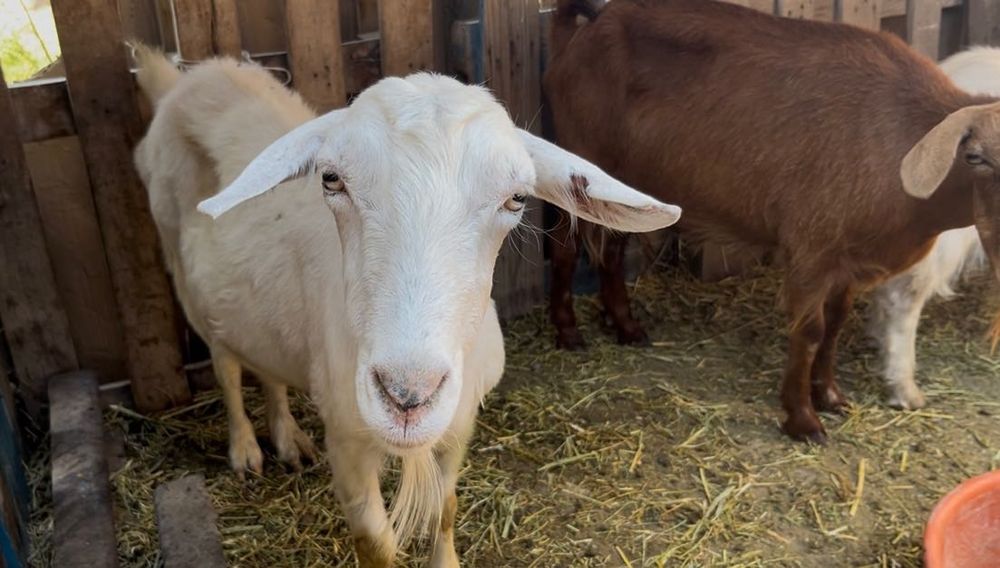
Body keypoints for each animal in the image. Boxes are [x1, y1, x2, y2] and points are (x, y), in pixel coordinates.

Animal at [132, 46, 680, 566]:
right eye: (331, 179)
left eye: (517, 199)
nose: (407, 397)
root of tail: (188, 76)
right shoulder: (347, 438)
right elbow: (376, 544)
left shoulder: (460, 420)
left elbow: (446, 509)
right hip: (178, 267)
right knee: (224, 364)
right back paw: (245, 448)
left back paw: (287, 439)